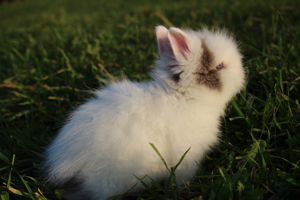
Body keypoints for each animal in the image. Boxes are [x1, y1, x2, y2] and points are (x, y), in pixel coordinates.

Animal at [45, 25, 246, 200]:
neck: (183, 97)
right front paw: (181, 190)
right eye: (219, 66)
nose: (243, 74)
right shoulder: (186, 157)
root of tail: (65, 166)